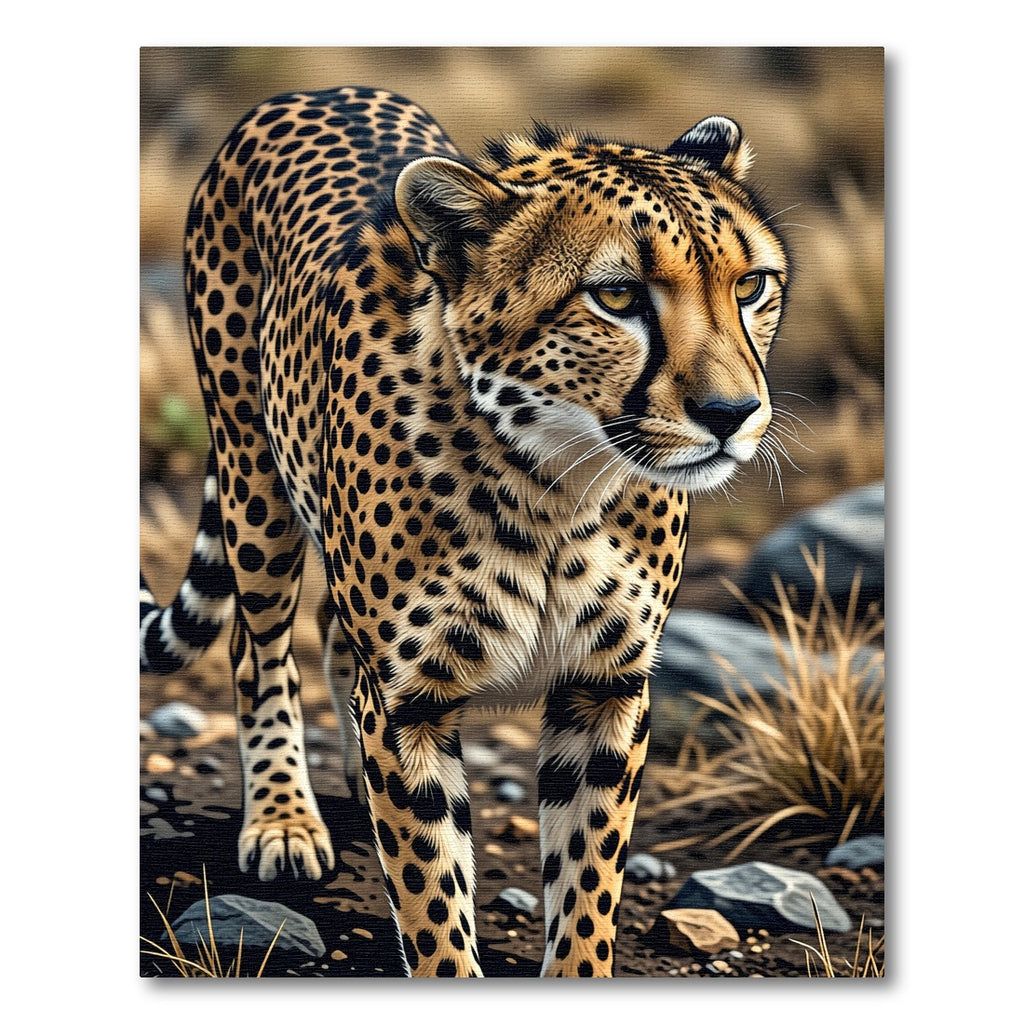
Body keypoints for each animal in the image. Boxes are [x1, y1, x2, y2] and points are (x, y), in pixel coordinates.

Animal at [140, 85, 788, 977]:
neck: (556, 487)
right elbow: (433, 900)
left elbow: (588, 881)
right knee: (258, 642)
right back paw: (282, 820)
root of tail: (316, 91)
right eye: (618, 296)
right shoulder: (409, 705)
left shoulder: (605, 687)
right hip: (253, 478)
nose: (732, 414)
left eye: (752, 285)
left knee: (330, 631)